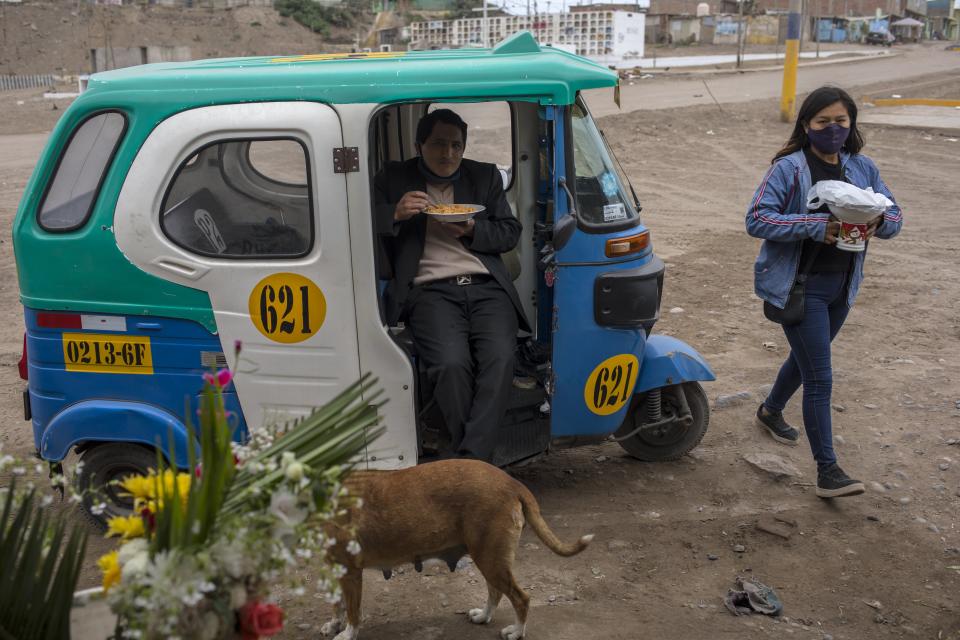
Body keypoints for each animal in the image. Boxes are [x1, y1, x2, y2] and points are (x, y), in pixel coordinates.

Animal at [322, 458, 592, 636]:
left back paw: (516, 631)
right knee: (495, 592)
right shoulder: (336, 570)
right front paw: (335, 624)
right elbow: (337, 603)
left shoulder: (350, 573)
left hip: (490, 559)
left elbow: (352, 611)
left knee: (520, 598)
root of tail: (512, 483)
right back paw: (484, 616)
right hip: (488, 557)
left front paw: (347, 633)